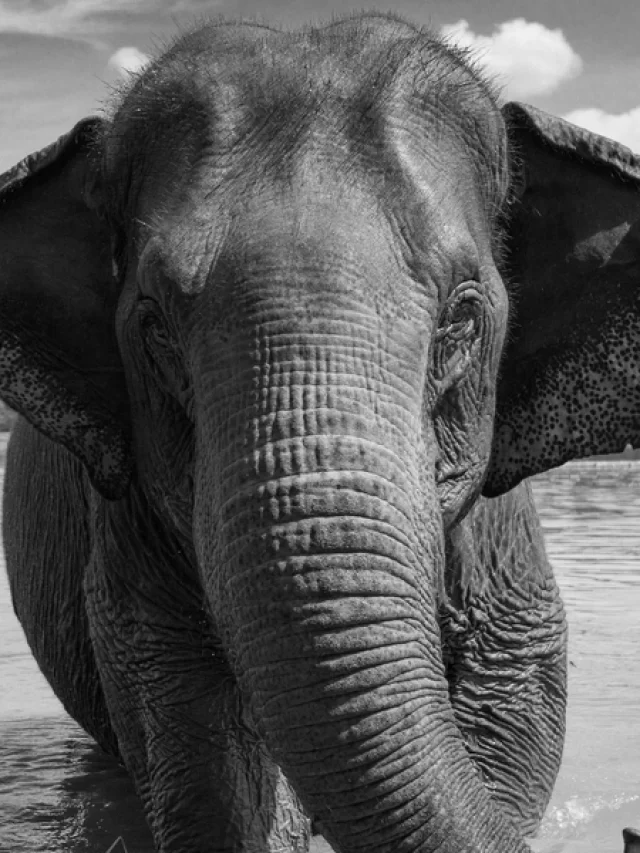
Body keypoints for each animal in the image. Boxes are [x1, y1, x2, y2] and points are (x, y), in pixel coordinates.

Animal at [1, 11, 639, 853]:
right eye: (155, 325)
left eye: (463, 317)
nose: (626, 830)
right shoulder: (129, 523)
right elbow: (195, 733)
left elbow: (514, 681)